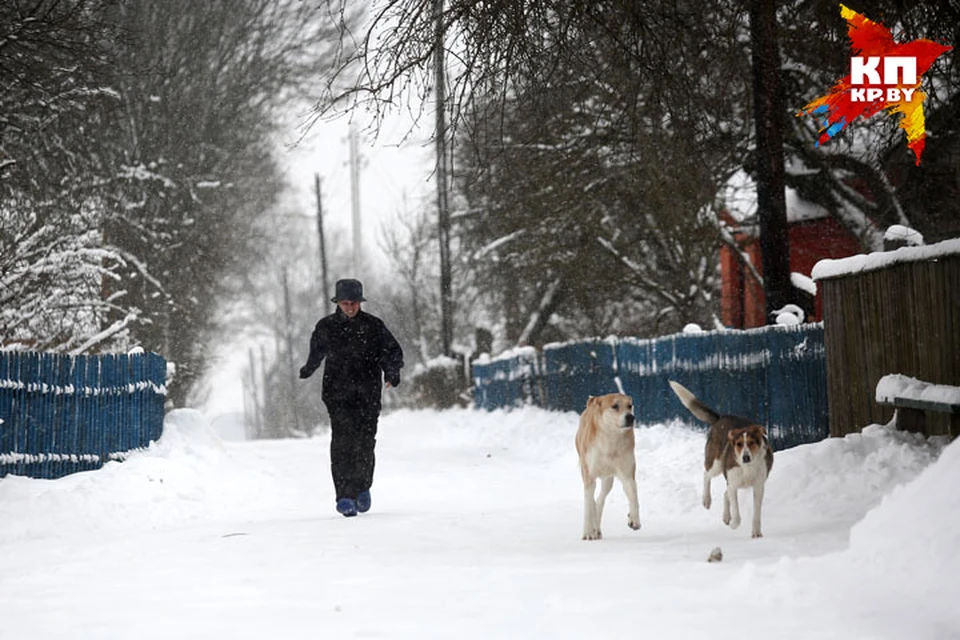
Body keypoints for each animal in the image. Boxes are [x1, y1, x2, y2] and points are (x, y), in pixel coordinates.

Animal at [572, 392, 640, 536]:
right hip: (585, 469)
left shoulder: (627, 473)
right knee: (591, 498)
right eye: (615, 406)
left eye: (629, 406)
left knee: (600, 498)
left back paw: (597, 527)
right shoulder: (589, 474)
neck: (611, 440)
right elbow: (587, 505)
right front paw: (587, 533)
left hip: (608, 478)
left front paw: (634, 520)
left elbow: (633, 496)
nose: (630, 417)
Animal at [672, 382, 776, 536]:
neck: (747, 468)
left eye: (752, 442)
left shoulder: (758, 487)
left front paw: (756, 533)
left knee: (724, 493)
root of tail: (721, 417)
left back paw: (726, 516)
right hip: (716, 464)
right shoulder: (733, 484)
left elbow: (756, 514)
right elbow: (737, 514)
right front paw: (734, 524)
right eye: (739, 444)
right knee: (706, 475)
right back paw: (707, 500)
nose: (745, 457)